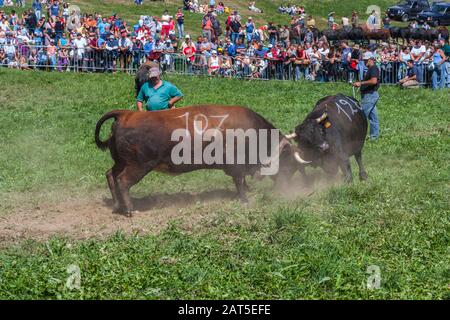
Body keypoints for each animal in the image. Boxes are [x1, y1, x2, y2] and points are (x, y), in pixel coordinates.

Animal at [94, 105, 306, 215]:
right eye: (290, 164)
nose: (285, 188)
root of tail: (125, 114)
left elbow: (242, 180)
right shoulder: (236, 163)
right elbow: (239, 180)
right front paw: (244, 198)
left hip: (121, 162)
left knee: (110, 175)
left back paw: (117, 205)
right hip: (138, 166)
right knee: (122, 181)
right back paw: (130, 209)